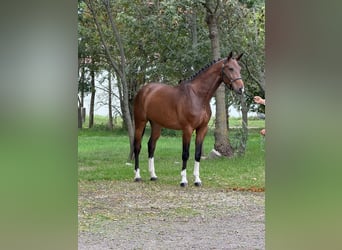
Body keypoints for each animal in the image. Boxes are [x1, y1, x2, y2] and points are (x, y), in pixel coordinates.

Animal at [133, 51, 243, 187]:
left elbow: (197, 154)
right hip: (140, 123)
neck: (197, 96)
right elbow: (185, 154)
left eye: (240, 69)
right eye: (230, 68)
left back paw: (153, 175)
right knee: (137, 147)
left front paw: (197, 180)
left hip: (157, 125)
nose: (241, 89)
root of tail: (143, 90)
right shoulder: (187, 129)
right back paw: (137, 176)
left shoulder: (202, 129)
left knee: (151, 146)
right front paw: (183, 180)